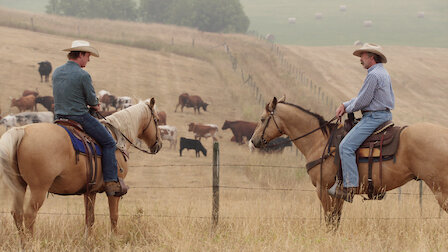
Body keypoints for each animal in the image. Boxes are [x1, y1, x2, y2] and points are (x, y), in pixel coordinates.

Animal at [0, 98, 164, 238]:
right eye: (156, 120)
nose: (159, 144)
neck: (118, 139)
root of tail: (22, 131)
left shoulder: (90, 191)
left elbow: (89, 219)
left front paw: (87, 240)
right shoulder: (115, 191)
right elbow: (114, 216)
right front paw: (114, 239)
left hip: (19, 187)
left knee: (17, 214)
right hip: (38, 189)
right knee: (29, 215)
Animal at [250, 96, 448, 228]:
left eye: (262, 119)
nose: (253, 141)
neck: (321, 142)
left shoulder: (322, 188)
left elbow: (329, 219)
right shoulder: (340, 193)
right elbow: (336, 219)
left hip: (441, 190)